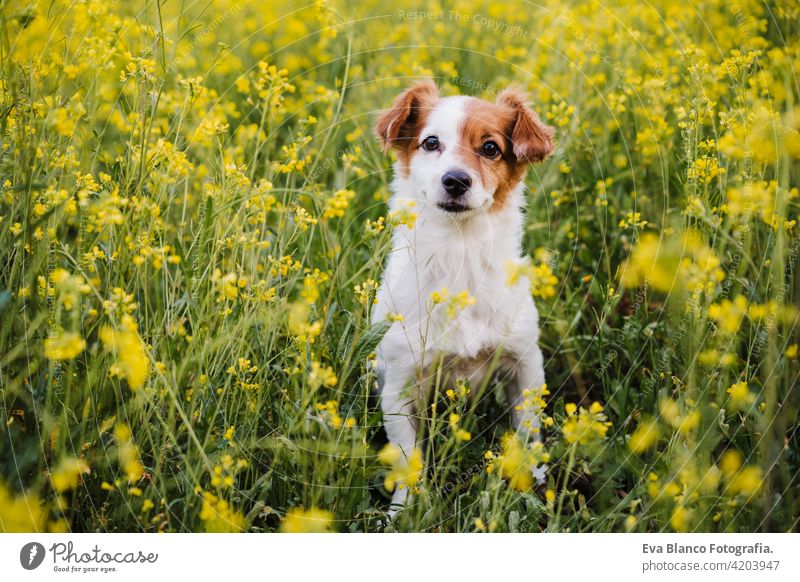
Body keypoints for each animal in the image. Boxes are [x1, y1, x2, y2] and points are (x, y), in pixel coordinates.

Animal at [372, 80, 552, 512]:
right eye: (430, 142)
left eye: (490, 148)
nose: (456, 180)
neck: (460, 252)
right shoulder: (399, 386)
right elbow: (407, 458)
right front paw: (403, 510)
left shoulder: (526, 365)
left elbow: (529, 434)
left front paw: (533, 481)